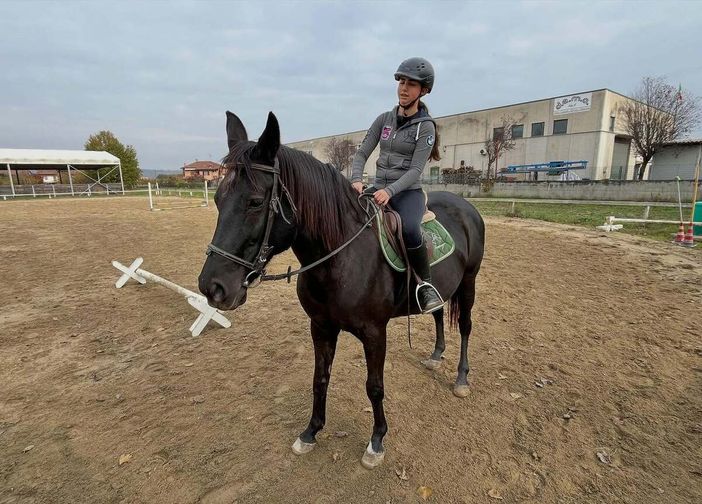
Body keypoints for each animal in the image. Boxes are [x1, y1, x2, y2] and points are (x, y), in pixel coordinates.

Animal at [198, 111, 485, 469]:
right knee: (437, 311)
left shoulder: (375, 332)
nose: (212, 287)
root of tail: (465, 205)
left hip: (470, 281)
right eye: (218, 198)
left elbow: (374, 387)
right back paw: (435, 356)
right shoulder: (321, 327)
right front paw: (310, 432)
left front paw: (376, 441)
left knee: (465, 326)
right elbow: (319, 379)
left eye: (255, 202)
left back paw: (461, 379)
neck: (339, 258)